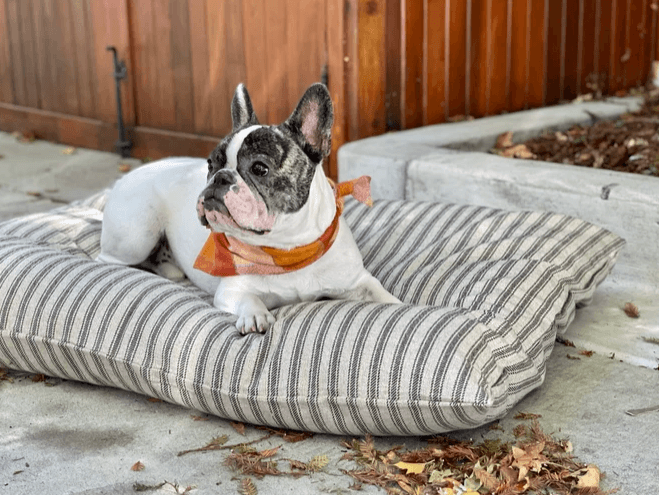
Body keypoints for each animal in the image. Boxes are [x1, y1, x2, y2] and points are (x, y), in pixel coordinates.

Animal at [95, 83, 400, 336]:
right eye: (211, 164)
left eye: (259, 168)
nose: (220, 178)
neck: (287, 249)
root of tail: (122, 179)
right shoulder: (231, 290)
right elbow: (249, 298)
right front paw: (255, 315)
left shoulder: (357, 280)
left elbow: (384, 296)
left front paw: (400, 305)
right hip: (137, 236)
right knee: (108, 260)